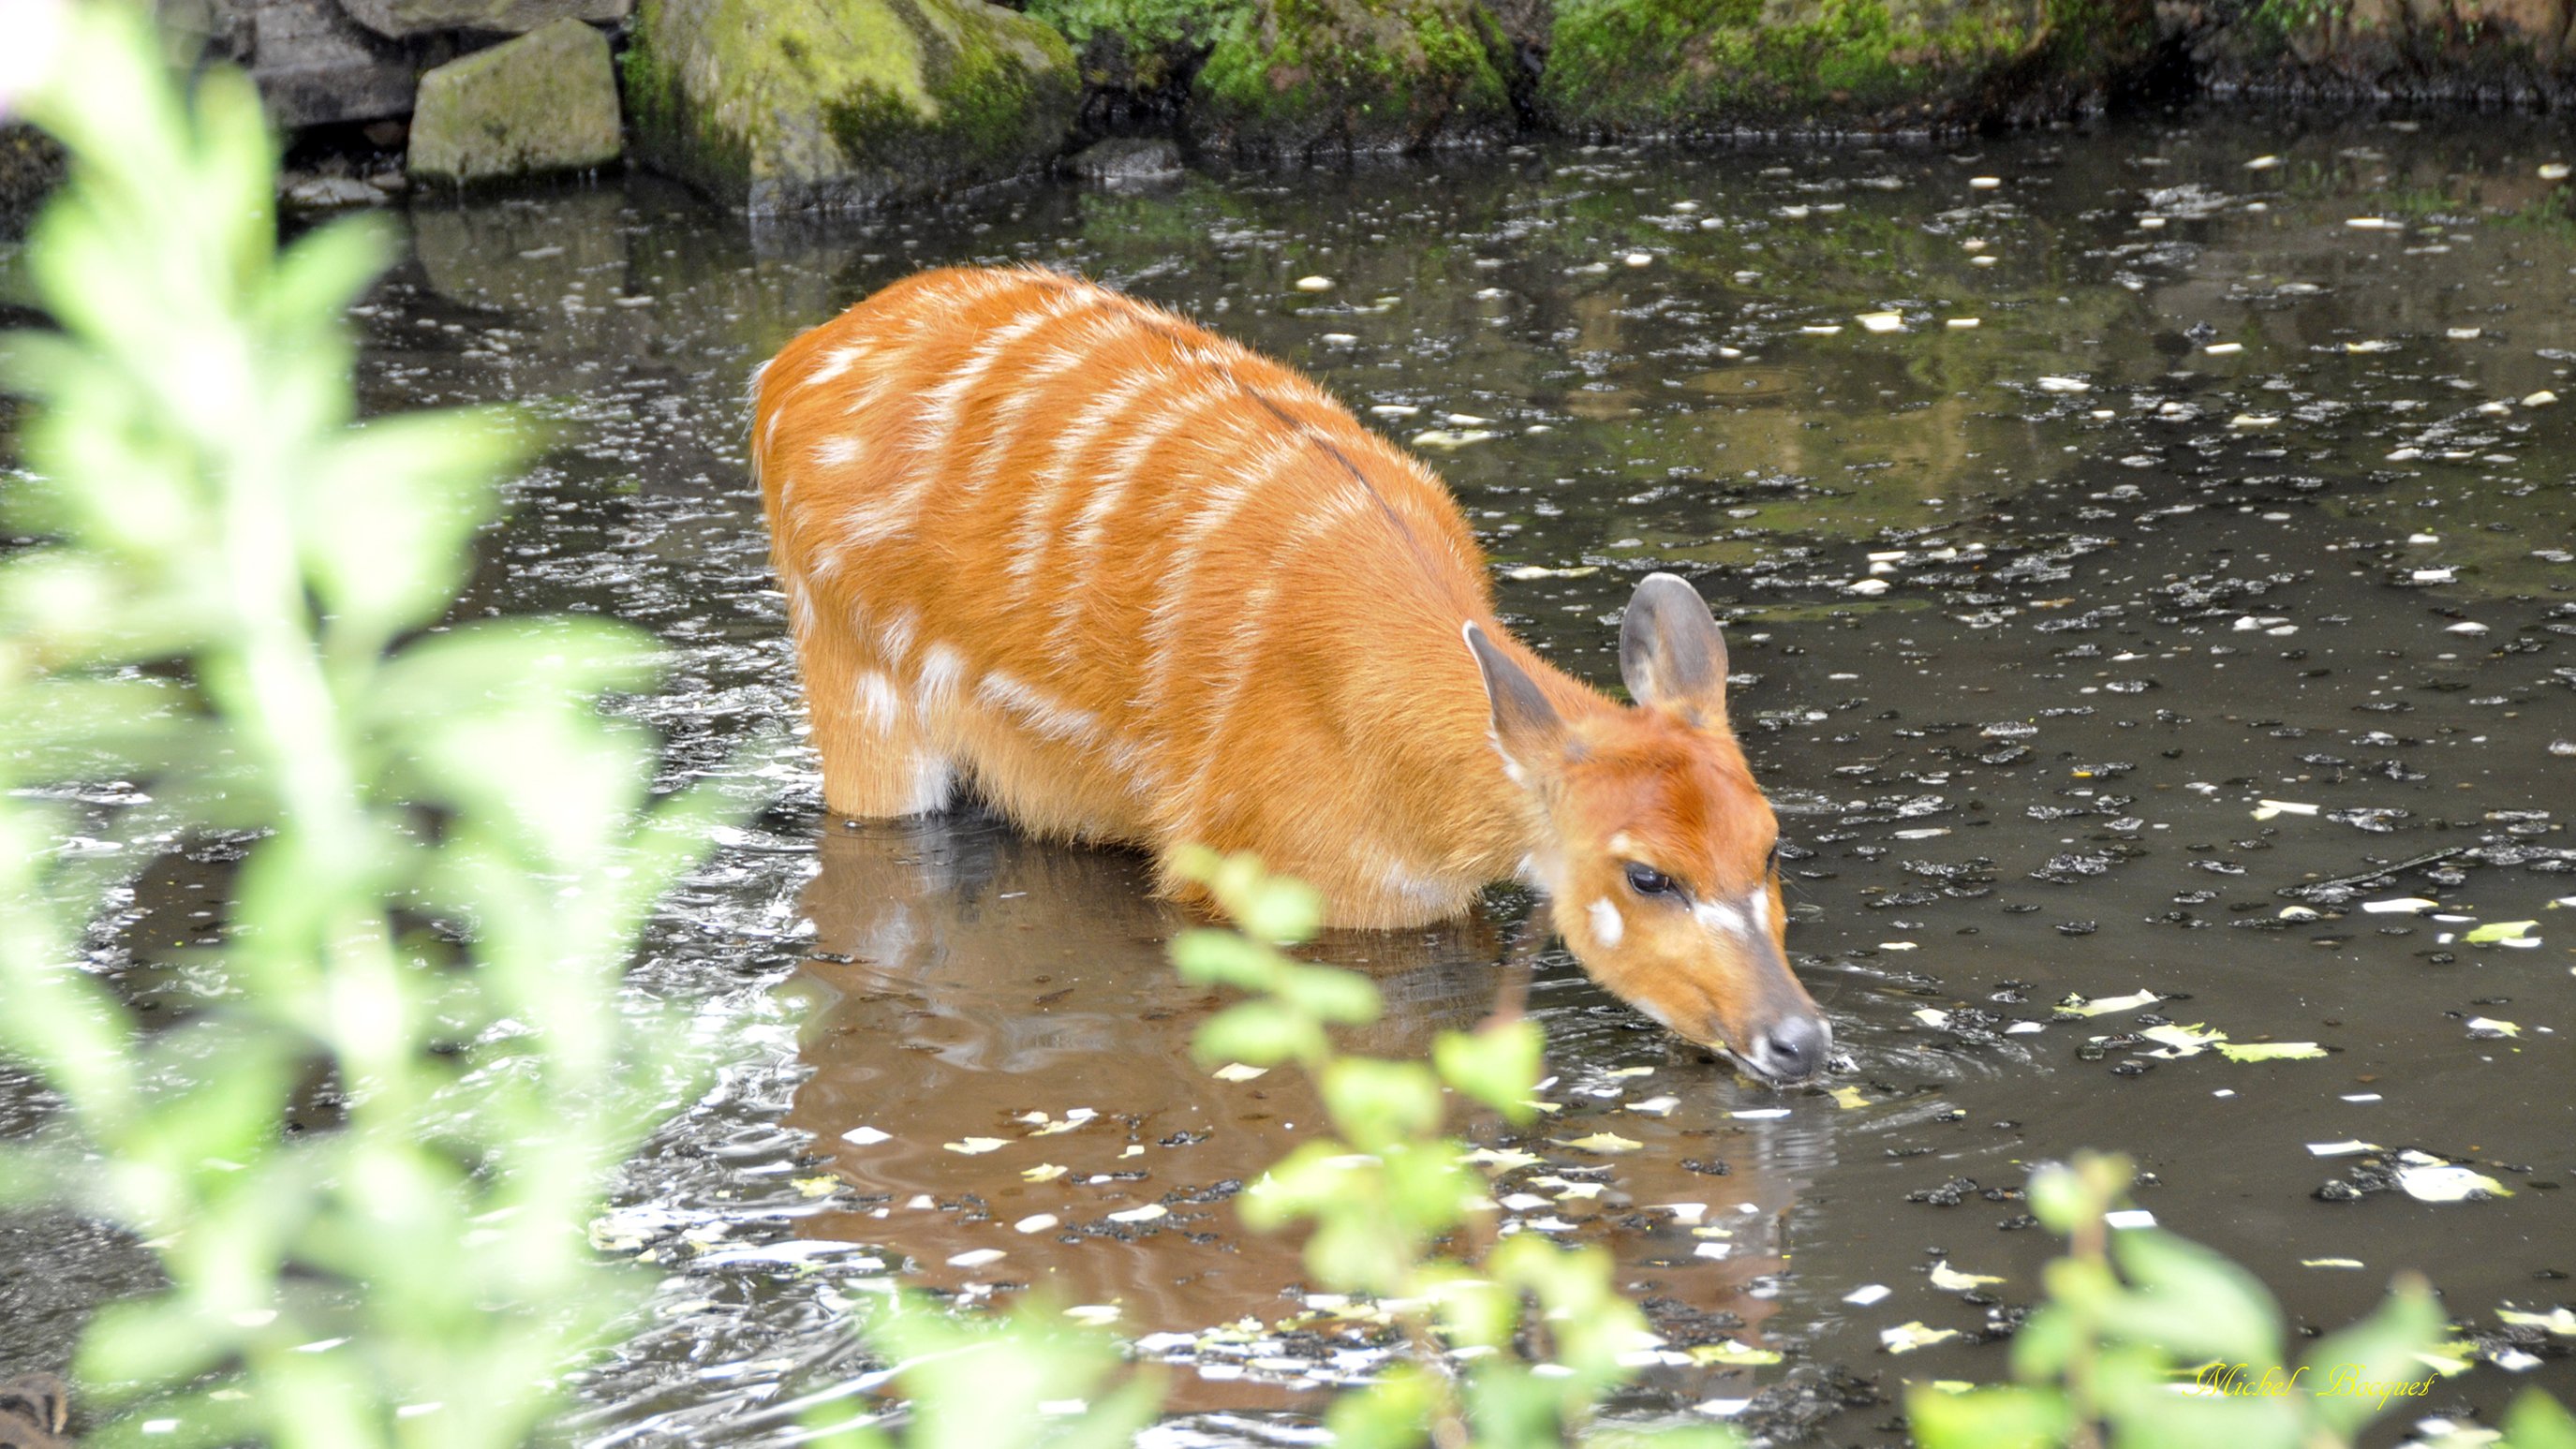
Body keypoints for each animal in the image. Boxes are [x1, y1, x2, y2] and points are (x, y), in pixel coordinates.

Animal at [747, 269, 1834, 1091]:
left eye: (1771, 844)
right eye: (1647, 872)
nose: (1798, 1038)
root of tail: (786, 365)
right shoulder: (1257, 884)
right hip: (852, 686)